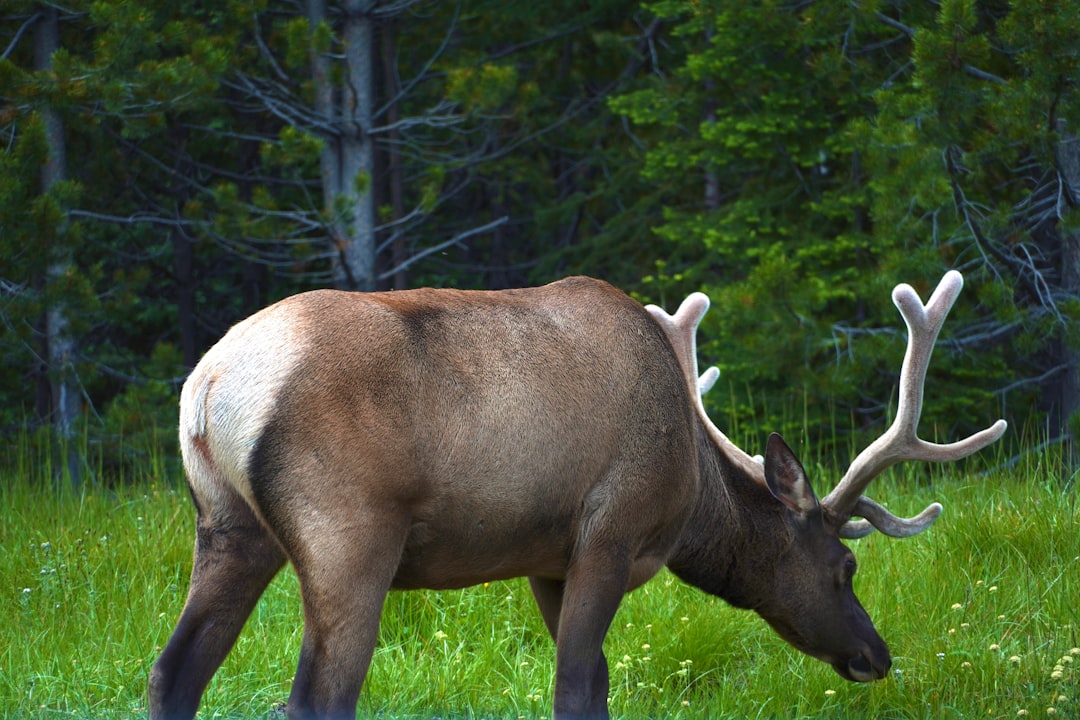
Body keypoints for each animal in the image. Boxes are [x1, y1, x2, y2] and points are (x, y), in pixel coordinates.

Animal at [147, 270, 1006, 720]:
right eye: (843, 569)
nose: (875, 655)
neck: (691, 499)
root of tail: (208, 388)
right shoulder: (610, 534)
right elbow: (578, 685)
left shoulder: (545, 559)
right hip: (348, 533)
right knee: (316, 697)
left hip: (226, 524)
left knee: (174, 670)